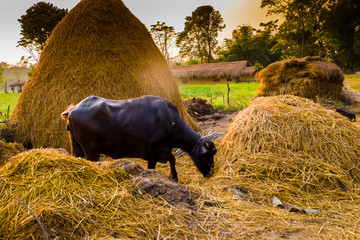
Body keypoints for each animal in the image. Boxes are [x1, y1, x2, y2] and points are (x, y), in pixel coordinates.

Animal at [61, 94, 217, 181]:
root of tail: (73, 108)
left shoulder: (164, 150)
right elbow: (153, 167)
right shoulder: (154, 153)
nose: (210, 173)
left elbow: (172, 159)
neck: (169, 121)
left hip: (77, 147)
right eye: (207, 155)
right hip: (91, 150)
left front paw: (174, 177)